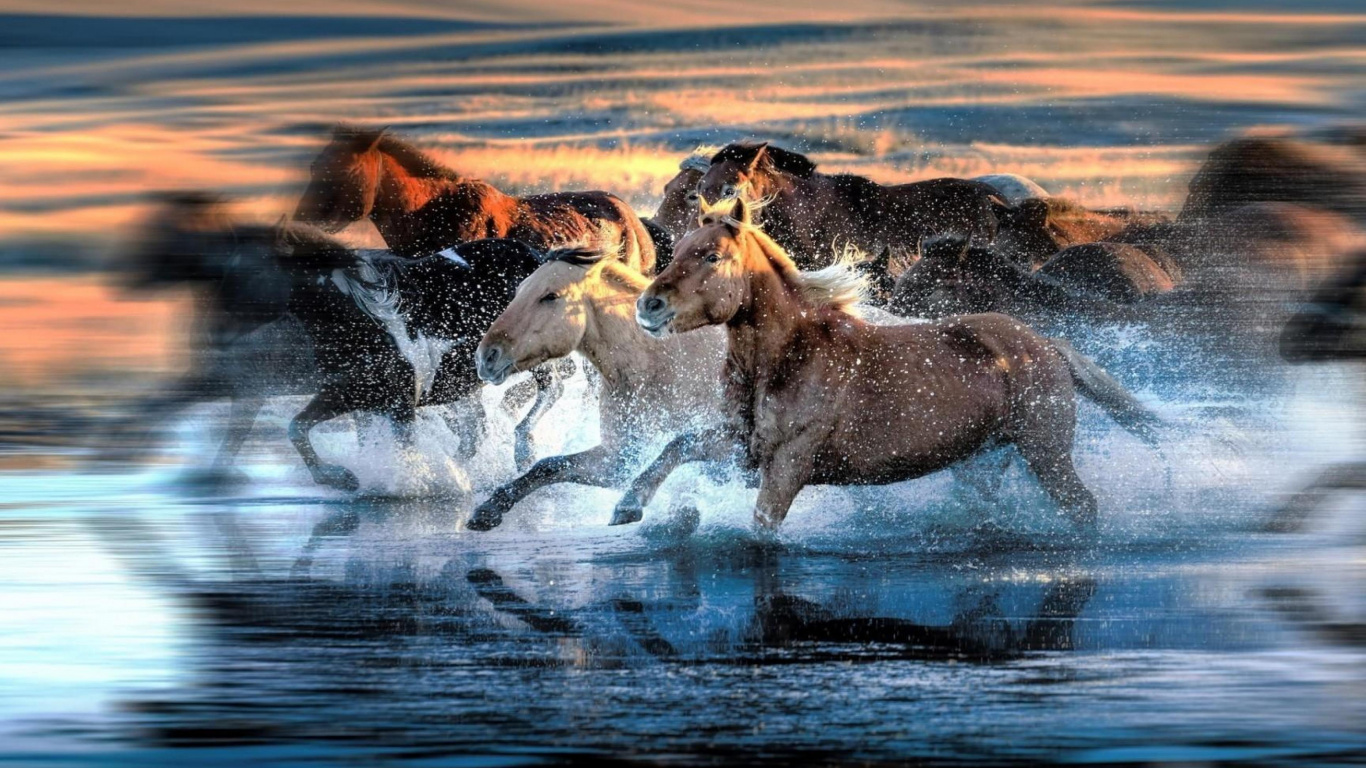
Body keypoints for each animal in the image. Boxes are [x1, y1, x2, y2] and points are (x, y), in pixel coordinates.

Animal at [464, 248, 727, 530]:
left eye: (550, 296)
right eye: (519, 291)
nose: (485, 357)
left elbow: (680, 445)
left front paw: (629, 504)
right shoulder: (620, 457)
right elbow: (549, 466)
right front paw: (489, 509)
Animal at [623, 196, 1161, 530]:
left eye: (711, 256)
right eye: (679, 250)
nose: (648, 305)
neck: (787, 358)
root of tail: (1045, 343)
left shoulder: (789, 463)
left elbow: (761, 525)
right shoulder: (742, 446)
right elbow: (676, 446)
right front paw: (627, 508)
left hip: (1046, 453)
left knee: (1082, 507)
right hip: (982, 464)